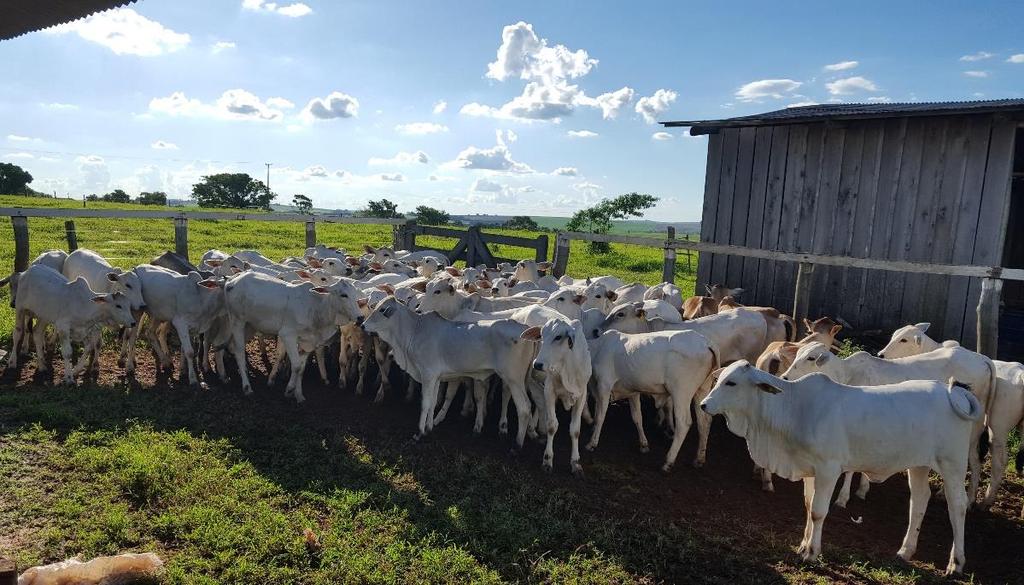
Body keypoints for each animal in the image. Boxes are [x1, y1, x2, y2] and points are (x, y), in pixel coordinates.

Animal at [700, 364, 978, 573]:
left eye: (731, 383)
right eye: (719, 378)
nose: (703, 404)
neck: (794, 408)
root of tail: (954, 392)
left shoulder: (828, 469)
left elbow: (818, 511)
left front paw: (811, 553)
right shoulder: (809, 470)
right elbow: (808, 505)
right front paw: (803, 545)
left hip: (952, 464)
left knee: (958, 505)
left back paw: (956, 563)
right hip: (919, 464)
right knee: (919, 500)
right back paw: (905, 551)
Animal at [876, 323, 1019, 510]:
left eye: (904, 339)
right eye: (895, 335)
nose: (881, 354)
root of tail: (983, 359)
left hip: (995, 426)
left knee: (993, 460)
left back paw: (978, 500)